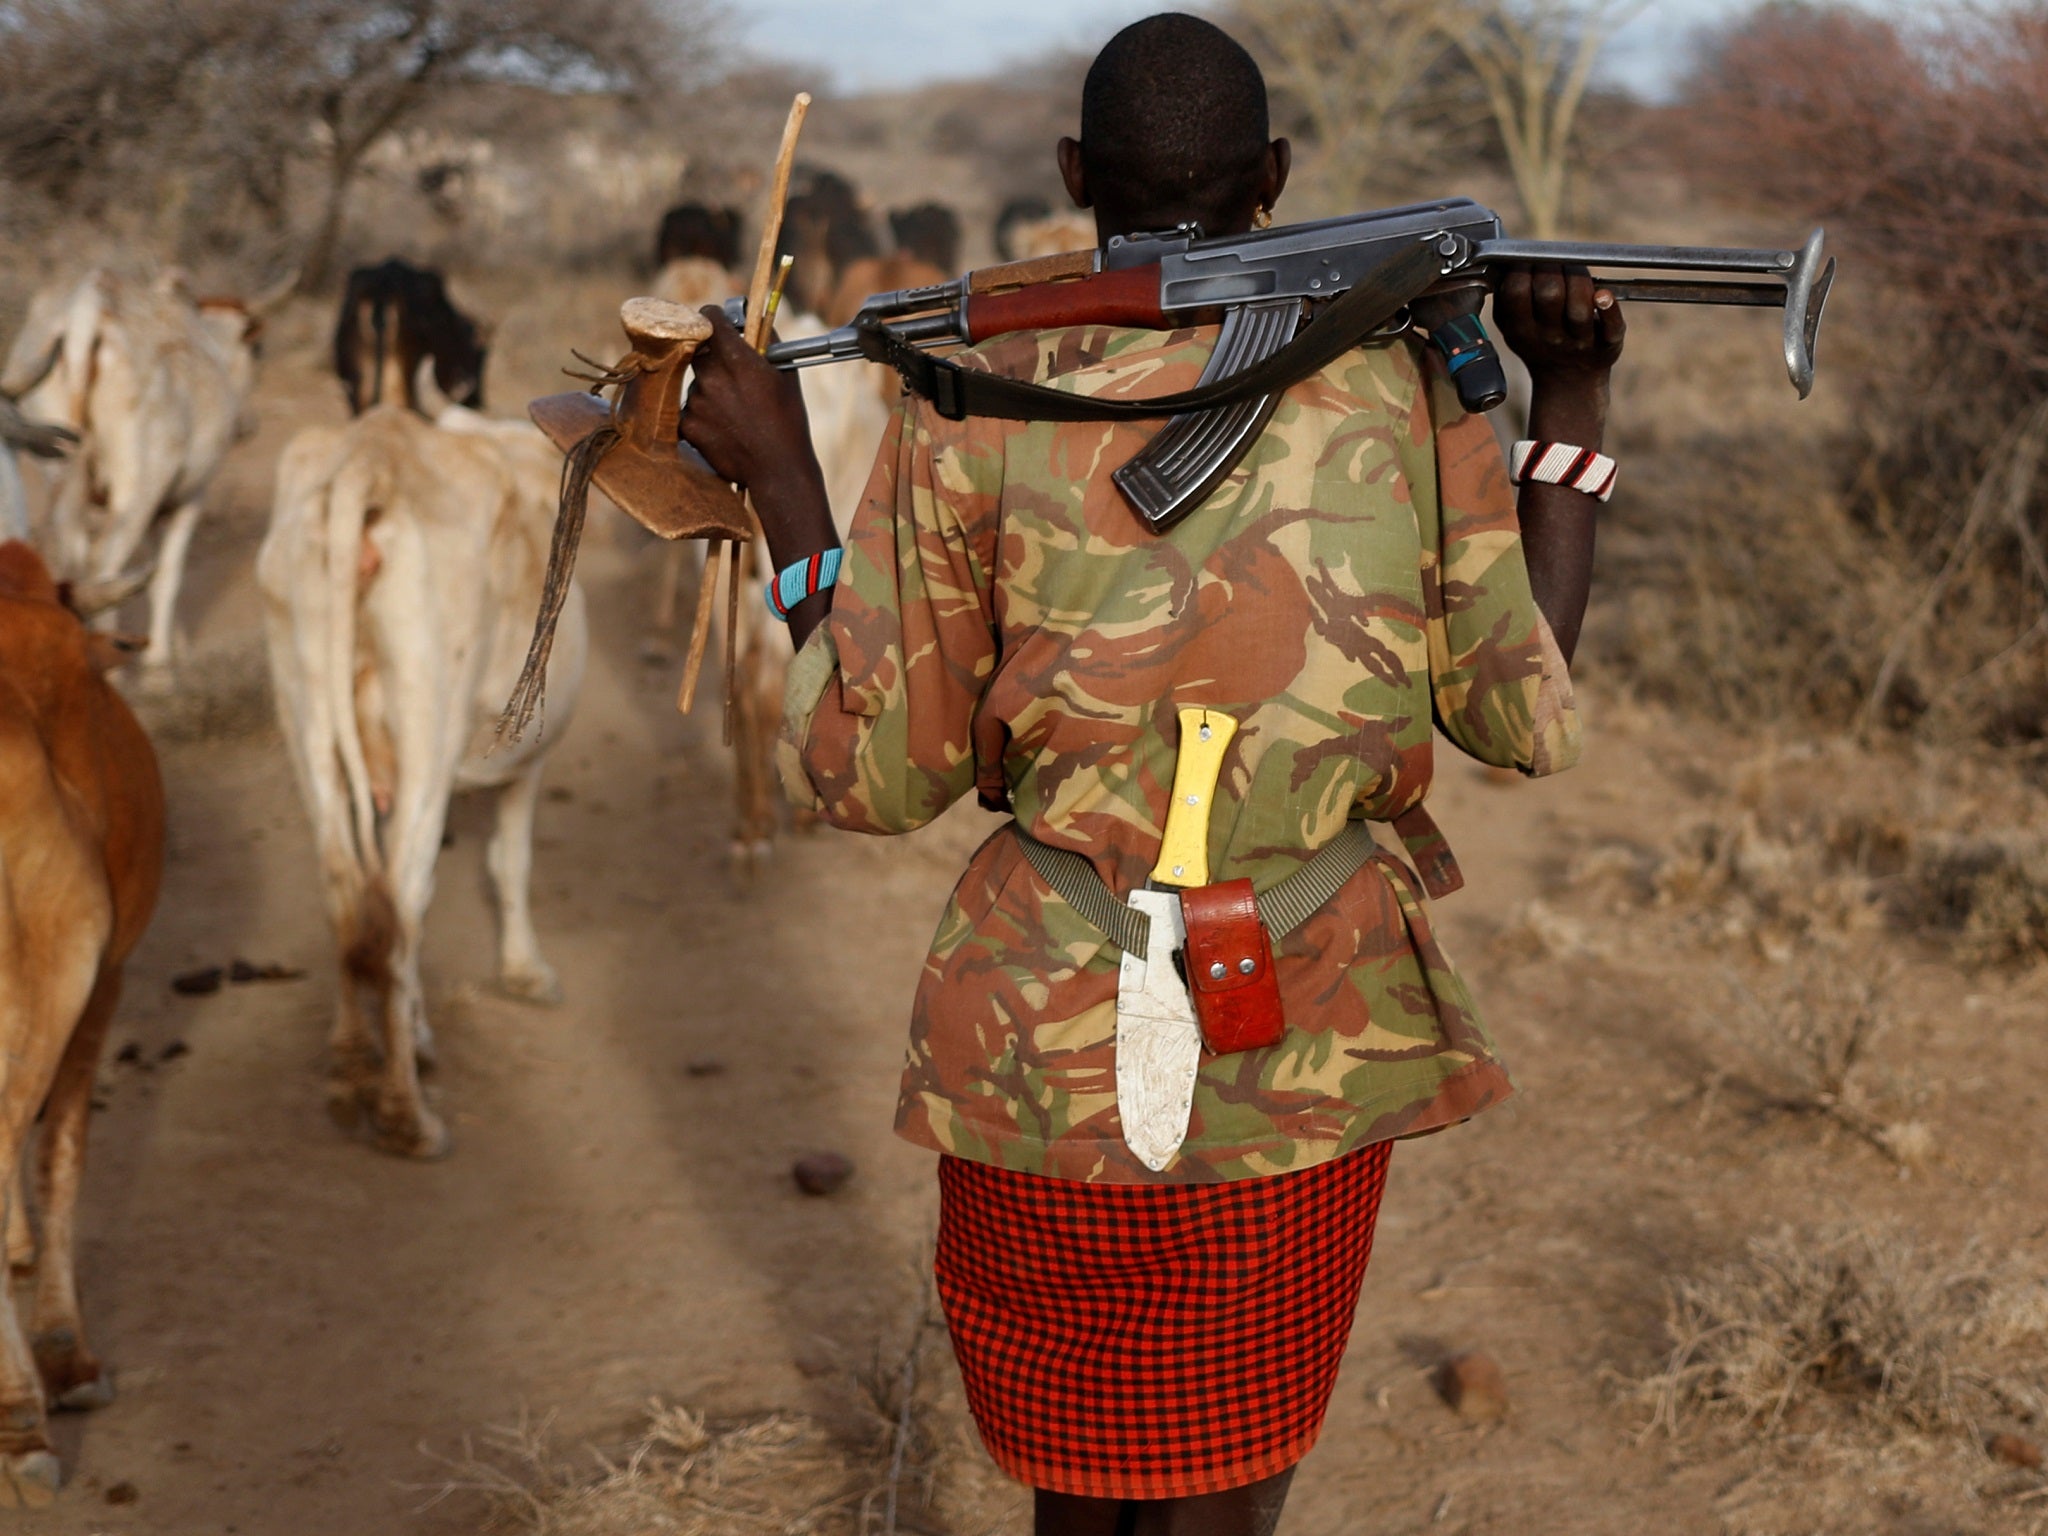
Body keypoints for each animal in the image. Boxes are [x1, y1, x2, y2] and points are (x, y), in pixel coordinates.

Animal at [0, 270, 264, 684]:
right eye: (257, 351)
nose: (247, 425)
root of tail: (88, 310)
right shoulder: (190, 495)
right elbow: (167, 574)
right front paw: (160, 661)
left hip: (66, 475)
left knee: (74, 556)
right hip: (140, 483)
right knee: (105, 560)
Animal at [258, 403, 585, 1163]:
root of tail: (371, 458)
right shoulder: (527, 766)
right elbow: (509, 863)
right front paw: (526, 972)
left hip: (304, 700)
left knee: (348, 892)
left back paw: (351, 1065)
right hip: (429, 716)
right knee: (400, 911)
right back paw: (408, 1119)